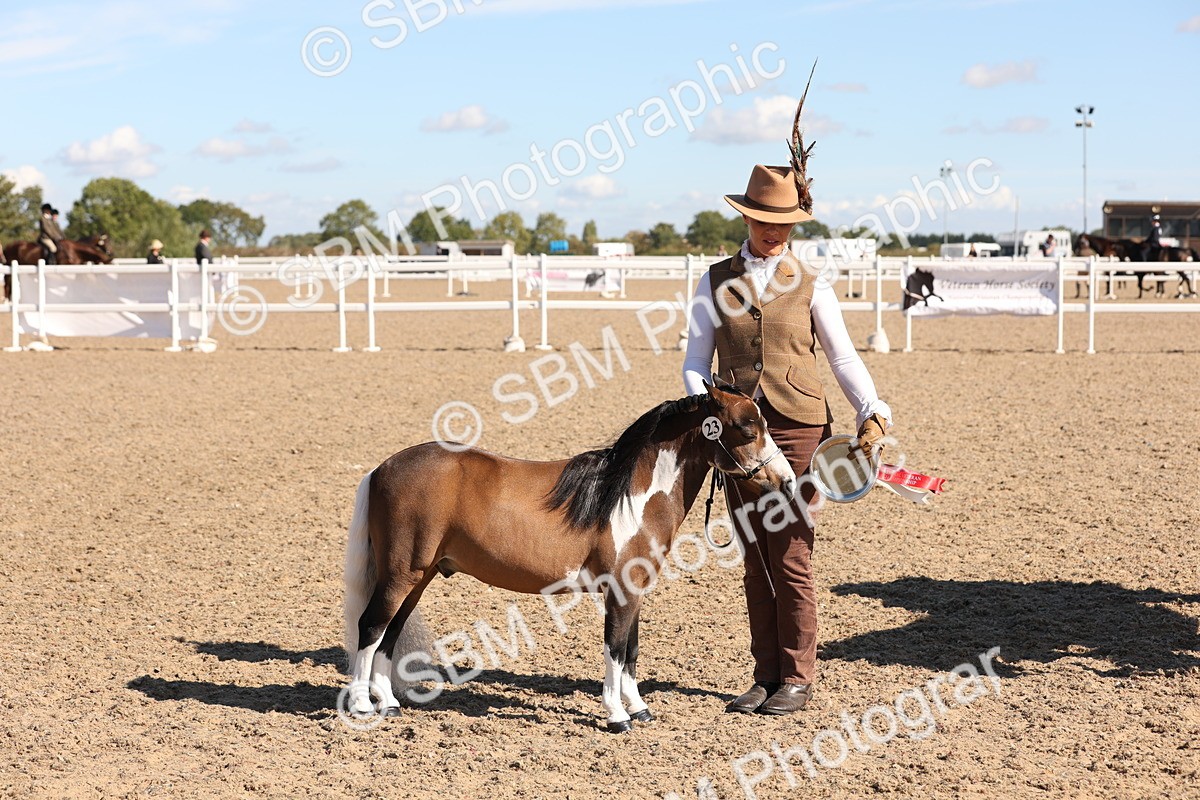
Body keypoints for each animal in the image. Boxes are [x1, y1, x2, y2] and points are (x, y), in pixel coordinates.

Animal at [343, 382, 798, 733]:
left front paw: (640, 709)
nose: (787, 481)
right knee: (371, 627)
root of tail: (381, 468)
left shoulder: (635, 591)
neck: (629, 495)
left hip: (418, 578)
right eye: (746, 428)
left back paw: (388, 703)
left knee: (389, 632)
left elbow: (631, 650)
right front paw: (617, 716)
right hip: (402, 575)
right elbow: (615, 648)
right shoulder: (619, 590)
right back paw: (363, 707)